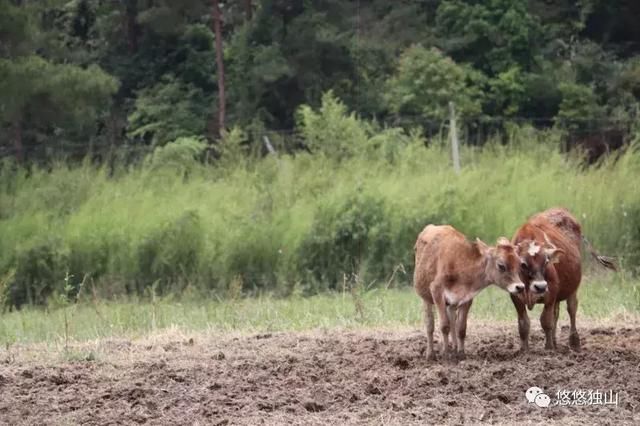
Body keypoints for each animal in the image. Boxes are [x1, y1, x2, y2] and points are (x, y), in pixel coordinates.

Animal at [416, 225, 524, 362]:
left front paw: (461, 354)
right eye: (501, 265)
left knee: (452, 320)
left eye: (519, 264)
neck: (460, 266)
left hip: (451, 303)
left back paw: (454, 348)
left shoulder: (467, 297)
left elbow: (461, 328)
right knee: (430, 324)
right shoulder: (437, 291)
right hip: (425, 297)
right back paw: (431, 354)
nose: (520, 287)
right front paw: (446, 354)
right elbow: (444, 326)